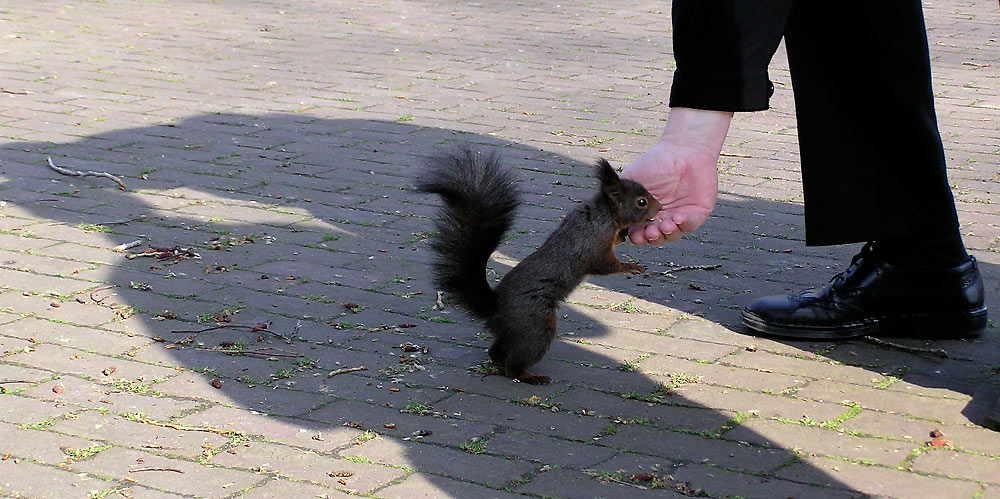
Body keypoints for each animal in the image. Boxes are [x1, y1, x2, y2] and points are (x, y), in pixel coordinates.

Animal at [418, 146, 660, 386]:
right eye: (641, 202)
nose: (660, 207)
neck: (605, 214)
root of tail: (495, 308)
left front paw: (624, 234)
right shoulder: (595, 245)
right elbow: (605, 265)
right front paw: (630, 266)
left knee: (498, 349)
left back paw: (498, 359)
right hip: (536, 326)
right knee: (515, 364)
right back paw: (530, 376)